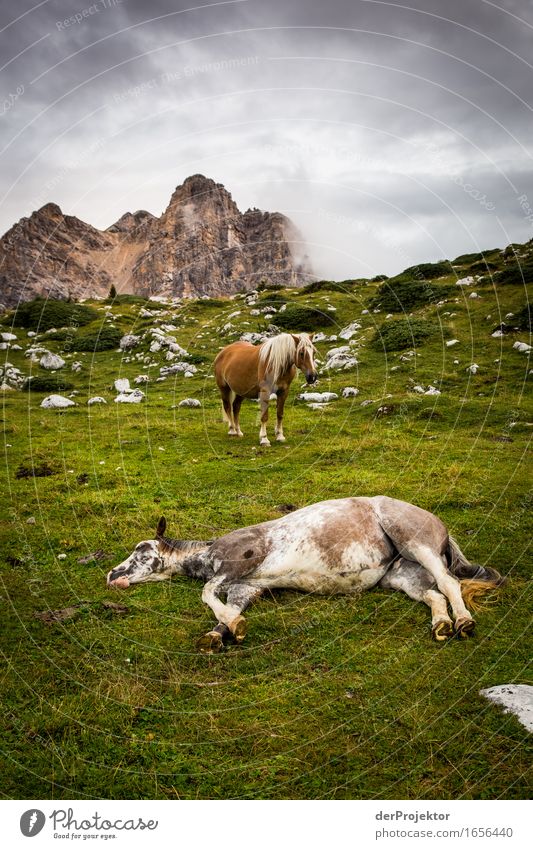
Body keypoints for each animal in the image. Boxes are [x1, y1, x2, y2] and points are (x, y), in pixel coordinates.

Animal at [108, 496, 502, 648]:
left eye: (141, 551)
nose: (112, 575)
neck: (209, 552)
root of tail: (439, 525)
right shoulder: (244, 588)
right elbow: (227, 610)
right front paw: (221, 633)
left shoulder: (239, 564)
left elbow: (206, 593)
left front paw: (228, 627)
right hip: (402, 574)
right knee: (434, 593)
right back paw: (442, 624)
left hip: (414, 542)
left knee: (449, 582)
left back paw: (463, 621)